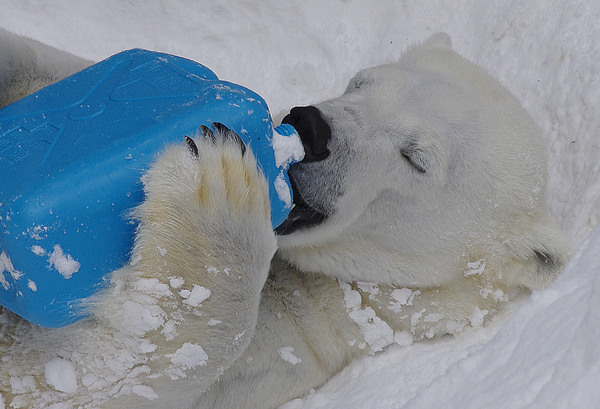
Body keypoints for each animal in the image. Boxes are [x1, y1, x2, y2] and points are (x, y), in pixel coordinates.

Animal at [0, 32, 568, 408]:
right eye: (360, 81)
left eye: (416, 158)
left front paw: (218, 191)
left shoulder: (289, 346)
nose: (311, 127)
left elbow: (91, 378)